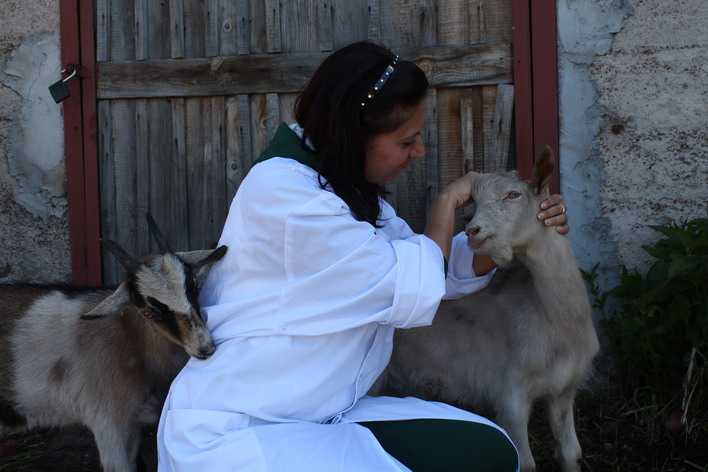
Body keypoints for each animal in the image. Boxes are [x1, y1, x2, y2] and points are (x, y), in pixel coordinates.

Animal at [0, 217, 227, 472]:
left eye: (193, 286)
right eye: (147, 308)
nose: (204, 347)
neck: (129, 340)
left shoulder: (133, 426)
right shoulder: (109, 424)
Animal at [376, 148, 596, 472]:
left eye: (514, 194)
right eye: (475, 203)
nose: (472, 230)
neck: (554, 319)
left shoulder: (564, 389)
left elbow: (570, 452)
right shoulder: (510, 393)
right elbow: (525, 463)